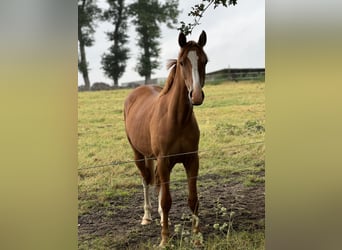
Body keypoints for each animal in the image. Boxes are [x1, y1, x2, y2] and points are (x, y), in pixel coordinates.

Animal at [124, 30, 207, 246]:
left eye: (204, 60)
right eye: (182, 62)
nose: (196, 95)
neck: (176, 118)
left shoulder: (191, 160)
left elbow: (193, 200)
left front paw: (197, 238)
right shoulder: (163, 160)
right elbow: (166, 200)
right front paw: (164, 240)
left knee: (158, 184)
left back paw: (160, 216)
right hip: (139, 155)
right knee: (146, 180)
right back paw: (147, 217)